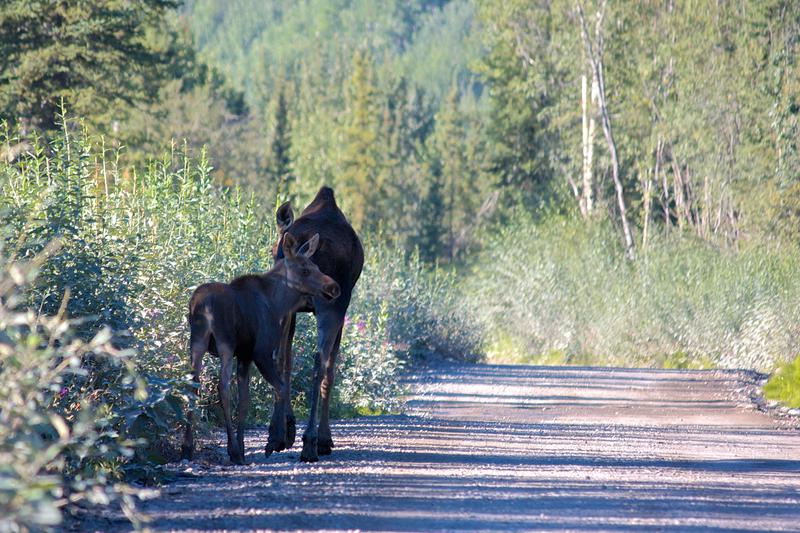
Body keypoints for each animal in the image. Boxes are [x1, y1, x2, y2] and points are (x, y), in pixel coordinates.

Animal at [182, 232, 340, 462]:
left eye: (317, 267)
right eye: (305, 270)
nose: (334, 287)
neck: (278, 303)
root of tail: (203, 306)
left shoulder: (245, 355)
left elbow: (244, 401)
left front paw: (243, 445)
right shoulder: (261, 352)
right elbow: (281, 387)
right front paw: (276, 440)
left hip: (197, 342)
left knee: (192, 385)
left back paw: (187, 446)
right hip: (225, 342)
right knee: (223, 387)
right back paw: (233, 452)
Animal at [272, 186, 366, 462]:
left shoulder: (291, 311)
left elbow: (287, 358)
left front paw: (287, 427)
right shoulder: (342, 307)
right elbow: (331, 369)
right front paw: (325, 438)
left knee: (278, 355)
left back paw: (276, 434)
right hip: (332, 305)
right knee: (319, 361)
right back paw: (311, 441)